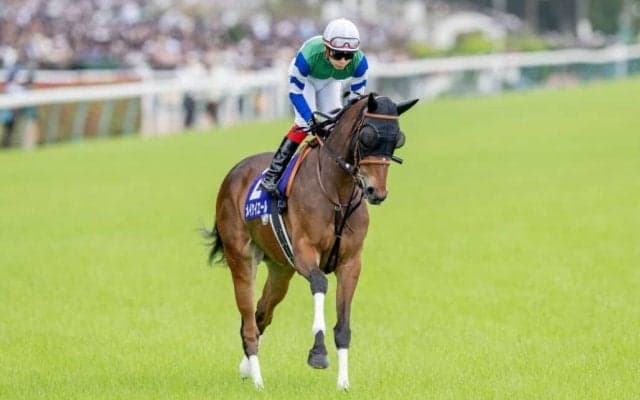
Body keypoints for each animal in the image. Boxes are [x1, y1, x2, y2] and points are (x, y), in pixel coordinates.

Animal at [205, 93, 418, 390]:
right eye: (368, 136)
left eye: (398, 138)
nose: (377, 191)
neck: (337, 194)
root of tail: (234, 173)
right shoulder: (305, 253)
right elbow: (320, 283)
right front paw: (318, 353)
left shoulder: (351, 263)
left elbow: (343, 326)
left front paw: (343, 383)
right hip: (242, 259)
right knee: (248, 320)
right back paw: (258, 379)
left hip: (281, 270)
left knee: (262, 314)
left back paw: (246, 367)